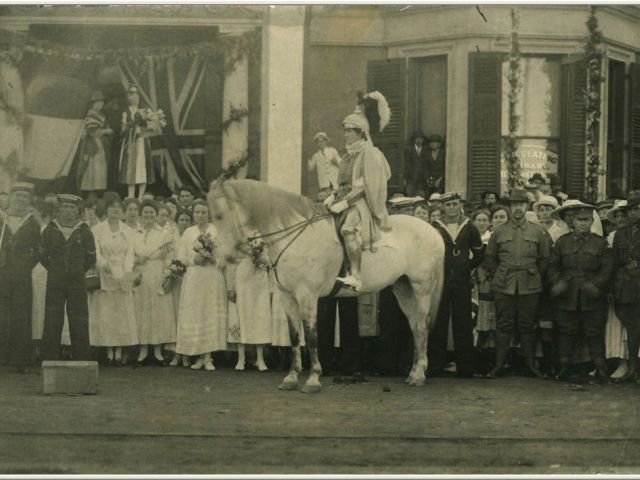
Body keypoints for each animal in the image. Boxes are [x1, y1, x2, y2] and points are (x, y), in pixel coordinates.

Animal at [208, 178, 442, 392]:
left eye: (219, 215)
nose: (225, 256)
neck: (296, 237)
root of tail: (432, 230)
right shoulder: (287, 296)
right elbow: (295, 336)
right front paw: (291, 378)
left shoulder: (307, 296)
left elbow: (311, 336)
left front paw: (313, 378)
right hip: (403, 289)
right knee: (415, 327)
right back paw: (413, 373)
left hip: (421, 289)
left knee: (422, 326)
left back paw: (419, 375)